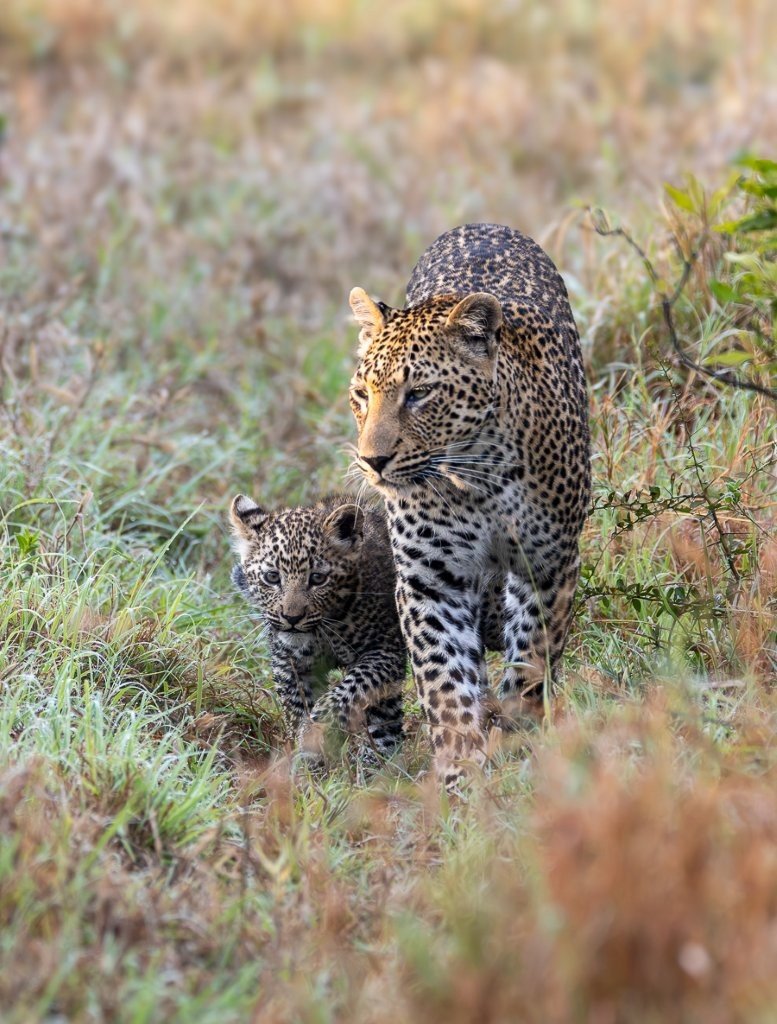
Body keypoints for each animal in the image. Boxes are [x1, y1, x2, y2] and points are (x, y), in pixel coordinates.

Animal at [229, 493, 407, 764]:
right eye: (272, 577)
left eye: (317, 578)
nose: (291, 618)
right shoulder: (292, 663)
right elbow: (297, 705)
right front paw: (307, 758)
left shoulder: (385, 650)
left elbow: (351, 687)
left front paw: (317, 727)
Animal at [347, 222, 590, 789]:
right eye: (362, 395)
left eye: (419, 394)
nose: (372, 461)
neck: (479, 477)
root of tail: (481, 225)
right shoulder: (430, 580)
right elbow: (444, 682)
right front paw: (462, 769)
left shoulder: (550, 566)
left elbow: (532, 661)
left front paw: (519, 734)